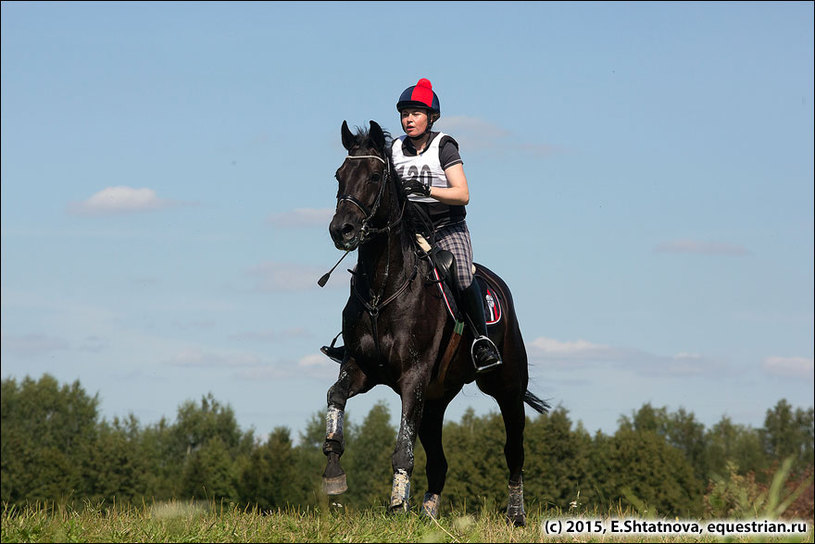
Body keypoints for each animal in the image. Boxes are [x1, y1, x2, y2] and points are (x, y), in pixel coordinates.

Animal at [318, 119, 548, 528]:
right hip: (437, 399)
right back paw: (428, 516)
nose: (341, 230)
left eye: (375, 176)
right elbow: (335, 396)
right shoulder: (361, 368)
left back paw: (516, 515)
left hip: (505, 386)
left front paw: (397, 505)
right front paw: (334, 472)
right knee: (439, 462)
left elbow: (403, 448)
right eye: (339, 175)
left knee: (514, 450)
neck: (383, 286)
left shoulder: (413, 376)